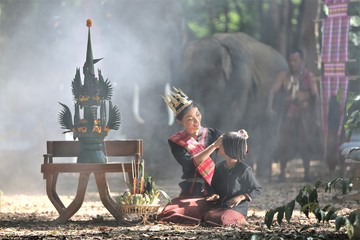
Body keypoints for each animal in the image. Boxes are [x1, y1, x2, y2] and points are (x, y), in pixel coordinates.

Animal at [174, 32, 290, 178]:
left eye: (200, 75)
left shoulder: (240, 80)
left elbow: (230, 117)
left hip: (281, 91)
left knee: (270, 125)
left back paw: (263, 175)